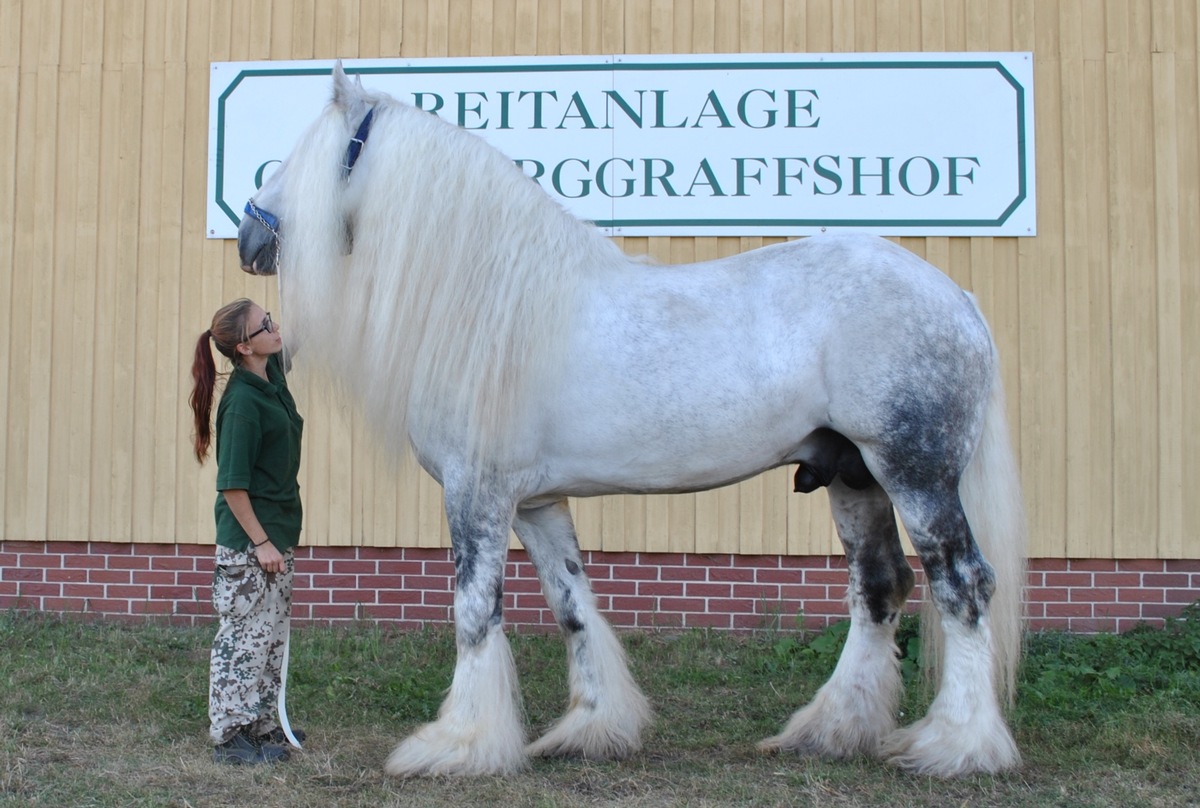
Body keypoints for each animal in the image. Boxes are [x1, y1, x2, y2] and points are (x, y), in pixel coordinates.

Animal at [238, 66, 1027, 777]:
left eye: (309, 159)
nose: (250, 234)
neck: (496, 307)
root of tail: (955, 295)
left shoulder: (477, 492)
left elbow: (474, 611)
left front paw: (456, 745)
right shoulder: (537, 502)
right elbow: (571, 606)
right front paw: (592, 729)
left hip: (916, 474)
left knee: (964, 586)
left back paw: (956, 747)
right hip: (853, 477)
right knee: (879, 587)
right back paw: (828, 732)